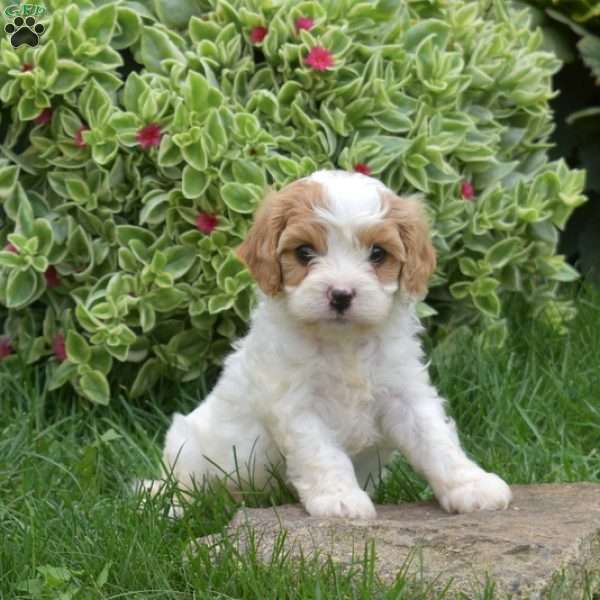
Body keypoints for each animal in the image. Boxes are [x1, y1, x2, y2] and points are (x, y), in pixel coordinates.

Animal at [159, 170, 510, 520]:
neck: (344, 343)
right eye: (304, 252)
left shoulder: (405, 392)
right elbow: (322, 453)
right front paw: (340, 500)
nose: (341, 295)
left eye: (378, 253)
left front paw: (472, 486)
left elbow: (435, 440)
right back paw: (174, 507)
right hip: (185, 448)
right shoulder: (297, 405)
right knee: (178, 486)